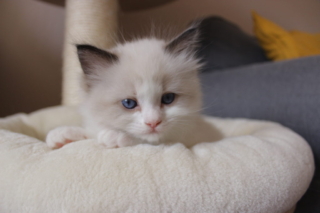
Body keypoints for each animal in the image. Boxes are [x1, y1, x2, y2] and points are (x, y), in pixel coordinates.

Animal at [45, 21, 220, 148]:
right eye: (128, 103)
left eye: (168, 98)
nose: (153, 122)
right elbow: (91, 131)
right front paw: (63, 135)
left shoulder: (186, 138)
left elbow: (146, 140)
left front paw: (114, 136)